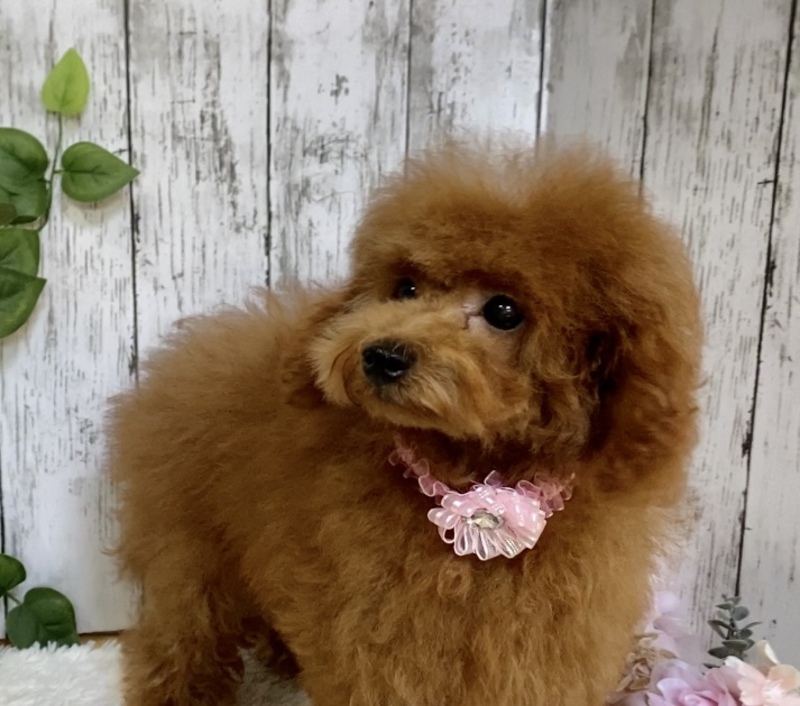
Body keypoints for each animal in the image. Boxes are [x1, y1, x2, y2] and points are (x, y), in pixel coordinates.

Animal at [109, 143, 702, 705]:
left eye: (503, 311)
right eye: (406, 288)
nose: (381, 355)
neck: (475, 481)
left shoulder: (543, 641)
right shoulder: (381, 634)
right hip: (188, 546)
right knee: (181, 633)